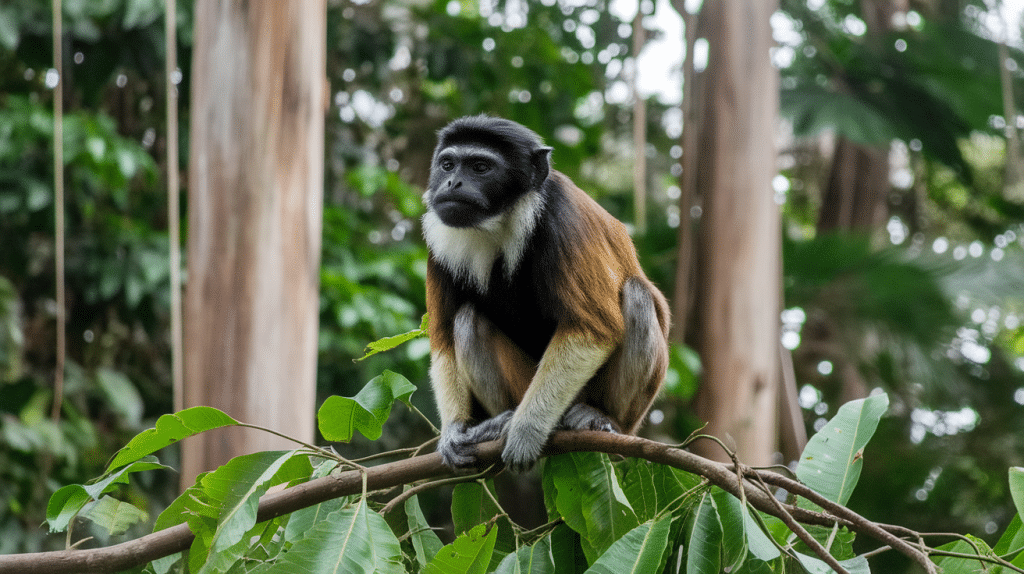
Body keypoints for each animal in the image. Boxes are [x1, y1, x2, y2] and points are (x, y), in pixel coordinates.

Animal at [419, 115, 667, 470]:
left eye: (480, 167)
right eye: (448, 164)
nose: (452, 183)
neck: (500, 222)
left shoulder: (562, 215)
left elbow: (592, 329)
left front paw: (526, 431)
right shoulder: (436, 239)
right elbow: (441, 339)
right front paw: (453, 431)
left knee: (637, 295)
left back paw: (601, 418)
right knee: (467, 321)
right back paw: (496, 424)